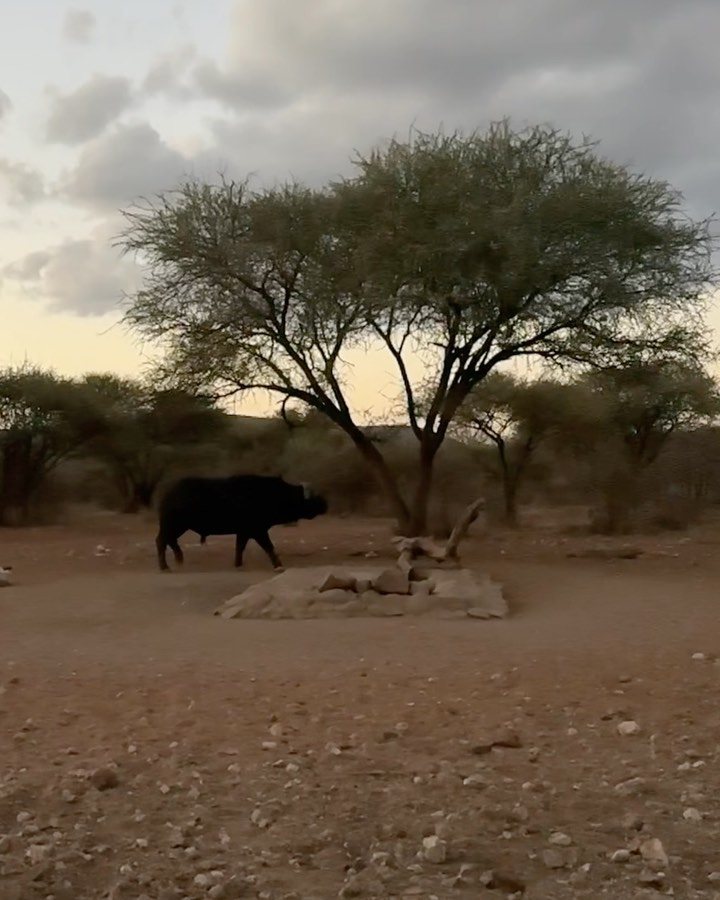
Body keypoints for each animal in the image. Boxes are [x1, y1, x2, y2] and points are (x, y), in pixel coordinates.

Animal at [156, 475, 328, 571]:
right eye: (311, 498)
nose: (325, 504)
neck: (272, 494)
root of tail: (168, 493)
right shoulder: (258, 531)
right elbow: (269, 548)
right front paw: (278, 564)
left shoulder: (244, 532)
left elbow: (240, 548)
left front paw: (238, 564)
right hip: (173, 525)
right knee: (162, 541)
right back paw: (165, 566)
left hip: (177, 527)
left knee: (170, 541)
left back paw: (178, 559)